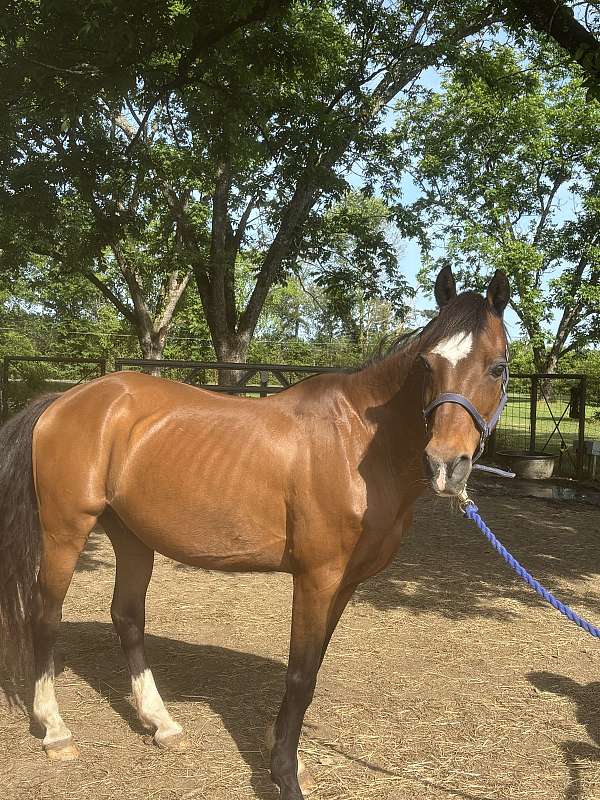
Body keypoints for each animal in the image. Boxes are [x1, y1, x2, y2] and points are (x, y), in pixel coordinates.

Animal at [0, 266, 509, 800]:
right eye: (428, 365)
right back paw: (55, 730)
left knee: (128, 618)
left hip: (132, 536)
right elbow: (301, 674)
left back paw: (162, 723)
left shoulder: (345, 583)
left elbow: (313, 664)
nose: (446, 464)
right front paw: (284, 773)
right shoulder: (317, 578)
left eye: (497, 368)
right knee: (46, 615)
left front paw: (286, 754)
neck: (357, 444)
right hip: (64, 531)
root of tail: (63, 400)